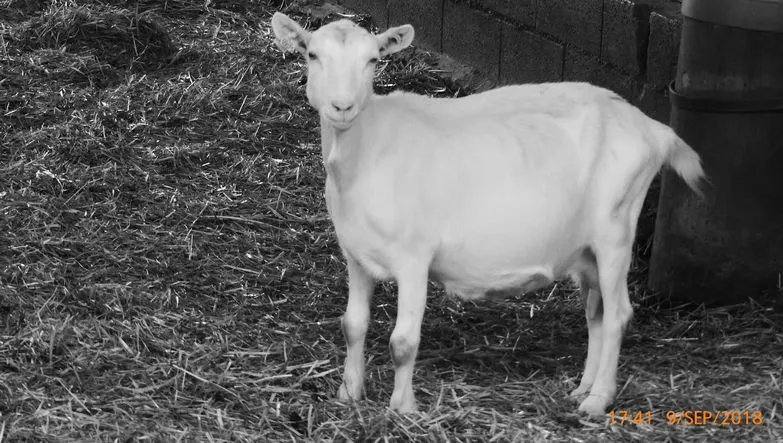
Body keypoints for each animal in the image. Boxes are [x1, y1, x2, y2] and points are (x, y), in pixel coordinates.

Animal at [271, 12, 705, 416]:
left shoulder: (414, 256)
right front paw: (348, 395)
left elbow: (402, 342)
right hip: (586, 250)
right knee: (596, 313)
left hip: (616, 229)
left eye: (373, 60)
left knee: (617, 315)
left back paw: (597, 401)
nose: (342, 107)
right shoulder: (356, 255)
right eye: (312, 54)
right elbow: (353, 326)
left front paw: (402, 408)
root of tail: (653, 129)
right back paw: (582, 389)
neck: (367, 151)